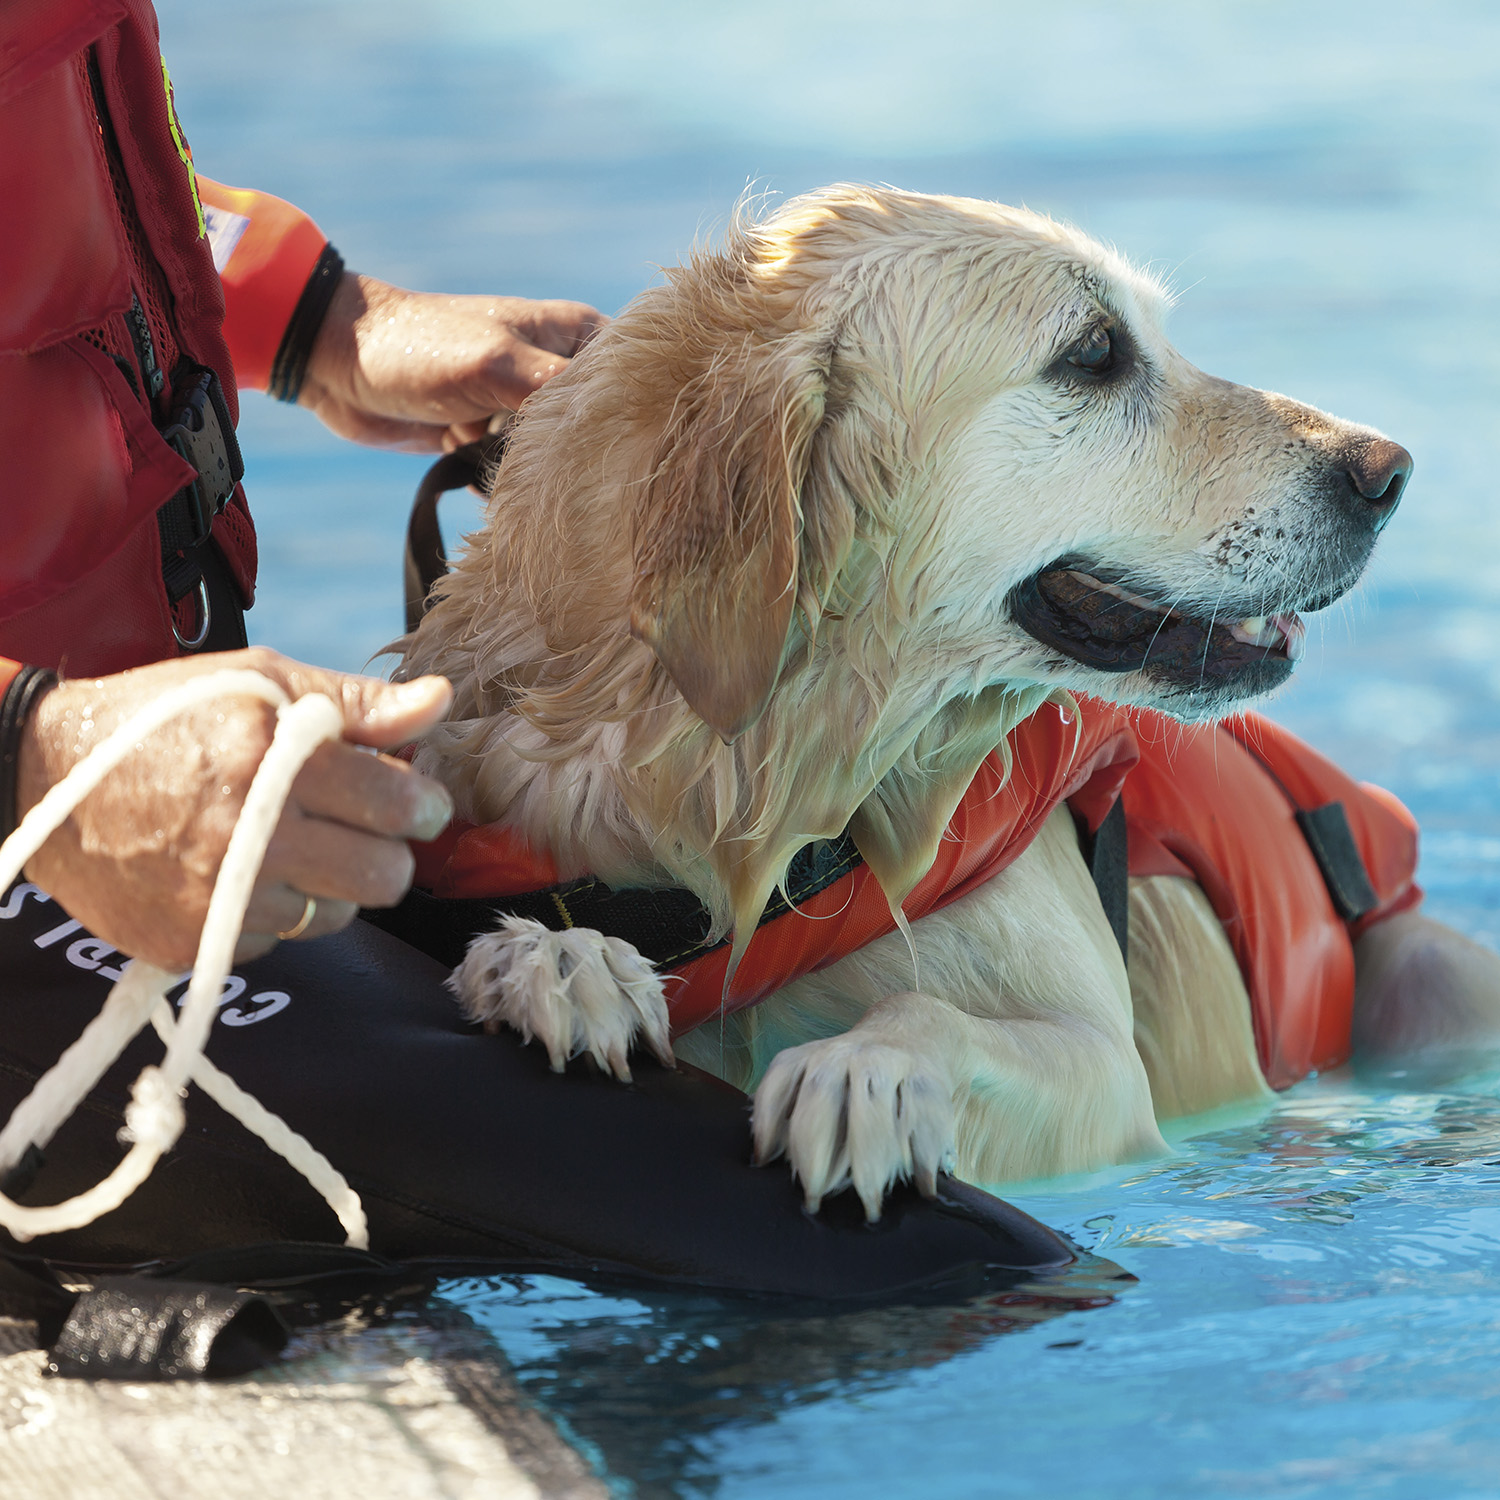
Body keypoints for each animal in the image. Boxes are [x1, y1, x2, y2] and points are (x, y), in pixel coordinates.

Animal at [396, 184, 1500, 1218]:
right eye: (1095, 351)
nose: (1389, 472)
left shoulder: (1110, 1076)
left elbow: (958, 1024)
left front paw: (868, 1070)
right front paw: (558, 961)